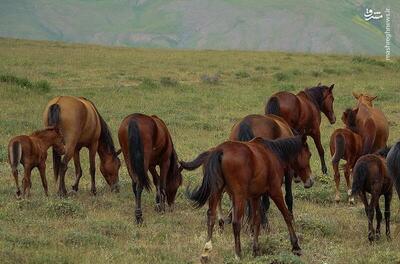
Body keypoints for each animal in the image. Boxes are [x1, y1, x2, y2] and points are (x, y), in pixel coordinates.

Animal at [186, 135, 314, 260]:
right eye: (309, 155)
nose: (310, 181)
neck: (273, 154)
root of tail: (220, 150)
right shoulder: (275, 191)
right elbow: (287, 215)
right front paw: (295, 246)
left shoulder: (255, 197)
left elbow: (256, 220)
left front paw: (256, 249)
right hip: (239, 196)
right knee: (236, 222)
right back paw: (238, 253)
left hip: (217, 192)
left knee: (211, 216)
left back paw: (206, 252)